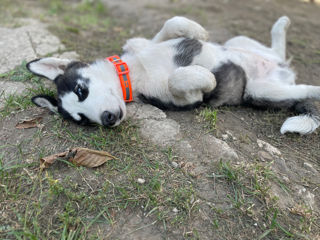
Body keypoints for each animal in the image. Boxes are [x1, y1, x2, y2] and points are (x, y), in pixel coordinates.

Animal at [26, 16, 320, 134]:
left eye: (80, 90)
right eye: (84, 121)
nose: (108, 119)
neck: (132, 74)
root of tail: (283, 72)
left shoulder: (148, 42)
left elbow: (173, 23)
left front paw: (199, 33)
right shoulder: (185, 101)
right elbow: (178, 78)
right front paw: (208, 78)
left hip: (240, 42)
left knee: (276, 50)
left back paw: (281, 26)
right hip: (262, 91)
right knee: (304, 88)